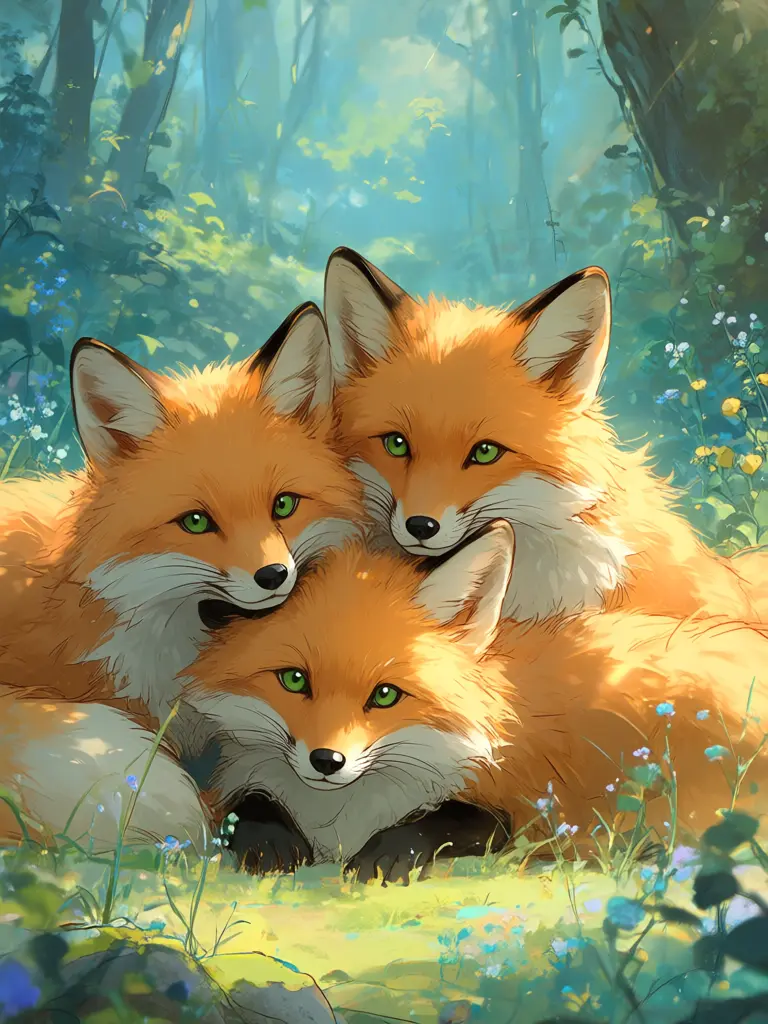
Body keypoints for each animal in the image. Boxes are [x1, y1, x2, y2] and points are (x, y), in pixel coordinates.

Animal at [184, 522, 768, 883]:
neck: (339, 818)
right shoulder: (235, 784)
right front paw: (270, 841)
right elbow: (245, 804)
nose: (327, 761)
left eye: (386, 694)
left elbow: (447, 819)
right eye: (294, 680)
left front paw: (386, 855)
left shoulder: (520, 803)